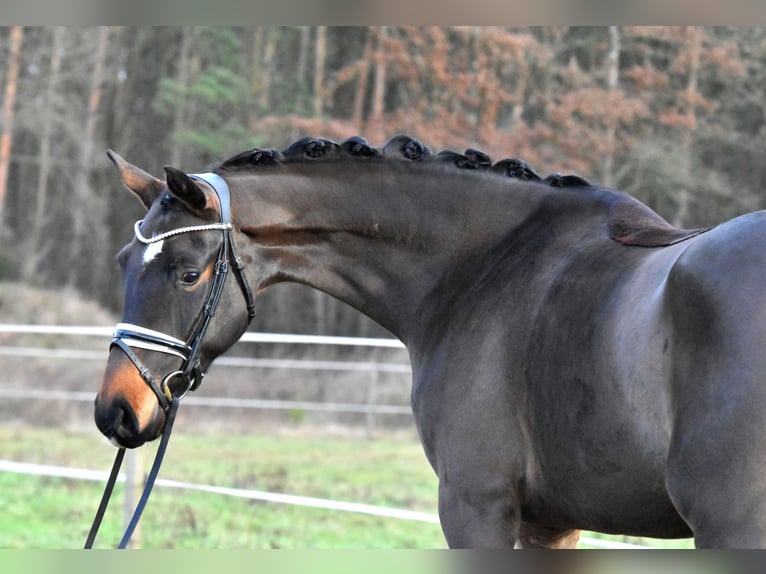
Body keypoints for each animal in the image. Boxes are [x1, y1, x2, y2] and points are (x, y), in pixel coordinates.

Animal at [96, 134, 766, 548]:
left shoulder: (476, 506)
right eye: (124, 261)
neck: (483, 264)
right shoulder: (551, 523)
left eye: (187, 273)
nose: (116, 410)